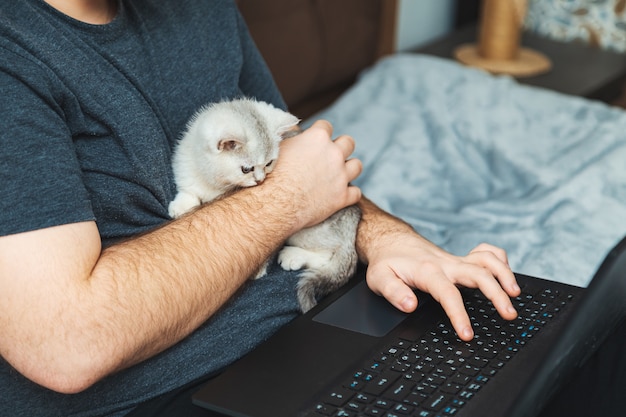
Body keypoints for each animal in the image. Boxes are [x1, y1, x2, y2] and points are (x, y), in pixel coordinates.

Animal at [169, 98, 360, 312]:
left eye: (269, 163)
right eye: (246, 169)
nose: (260, 180)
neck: (216, 183)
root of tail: (354, 220)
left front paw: (258, 268)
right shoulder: (186, 163)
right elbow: (189, 188)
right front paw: (181, 205)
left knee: (328, 254)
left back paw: (294, 255)